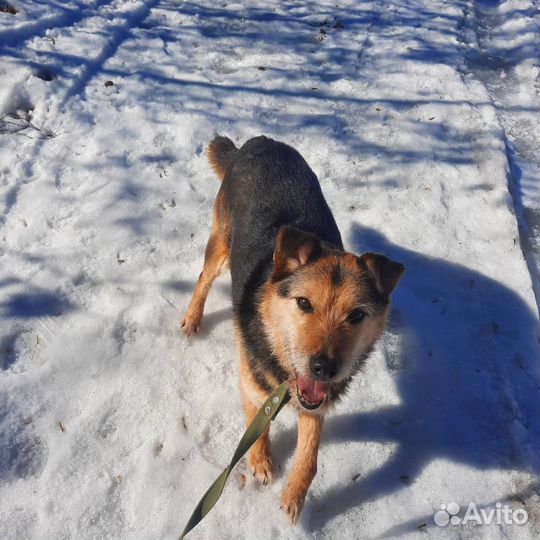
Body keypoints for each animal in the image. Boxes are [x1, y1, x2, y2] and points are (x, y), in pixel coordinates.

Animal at [182, 135, 404, 524]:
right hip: (220, 242)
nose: (323, 367)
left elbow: (311, 454)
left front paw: (295, 495)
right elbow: (256, 427)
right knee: (203, 278)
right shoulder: (252, 385)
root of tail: (257, 142)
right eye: (303, 303)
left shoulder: (315, 402)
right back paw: (193, 318)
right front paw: (260, 462)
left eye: (357, 316)